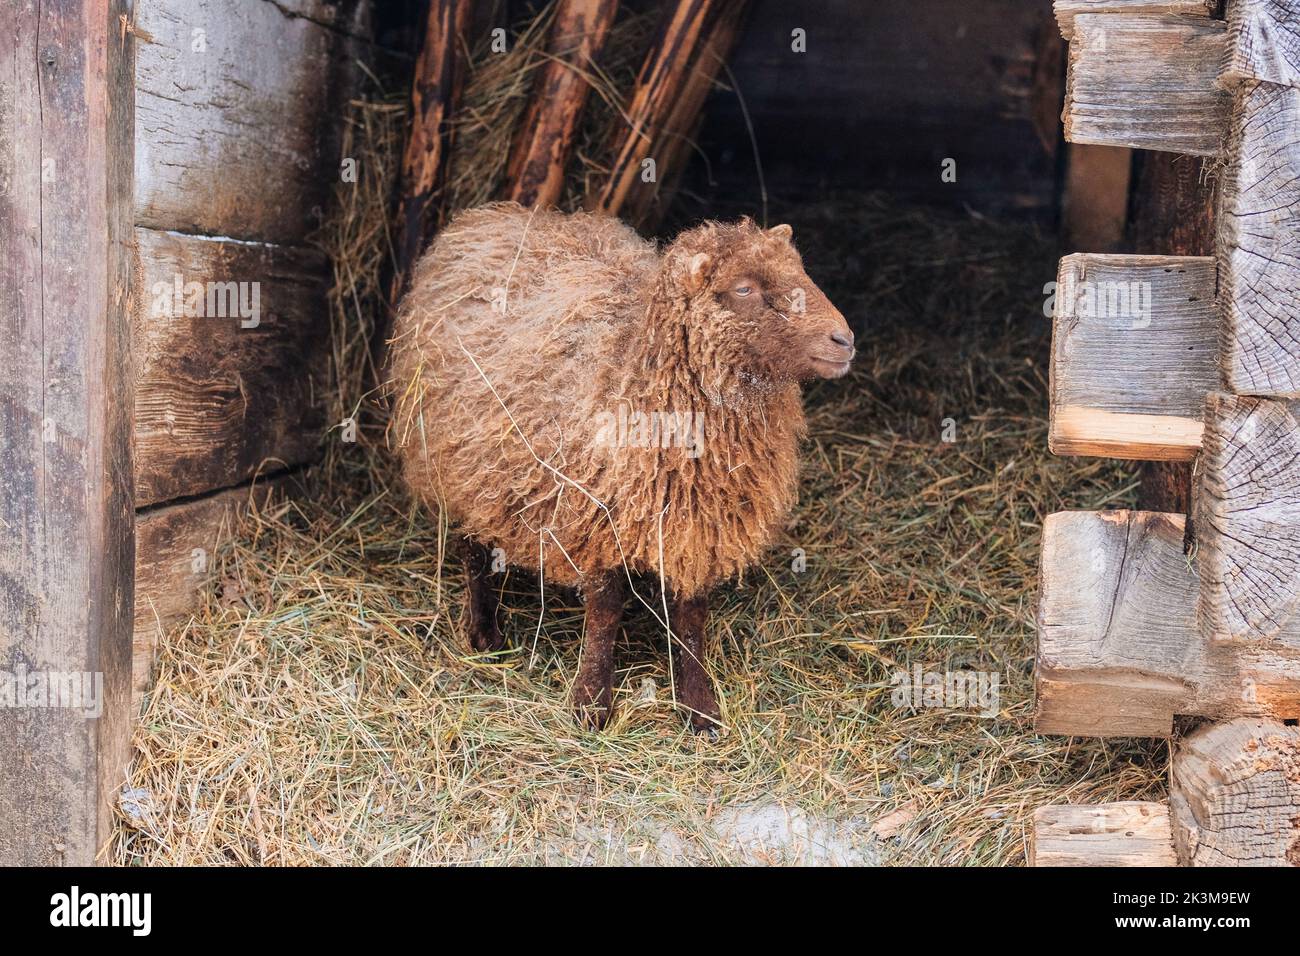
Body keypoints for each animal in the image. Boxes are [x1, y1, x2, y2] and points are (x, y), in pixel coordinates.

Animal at [384, 201, 852, 738]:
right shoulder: (600, 512)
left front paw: (699, 708)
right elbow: (605, 611)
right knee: (472, 549)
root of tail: (489, 216)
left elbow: (690, 617)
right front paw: (591, 703)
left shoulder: (697, 523)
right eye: (744, 289)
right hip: (459, 463)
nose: (845, 340)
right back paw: (485, 633)